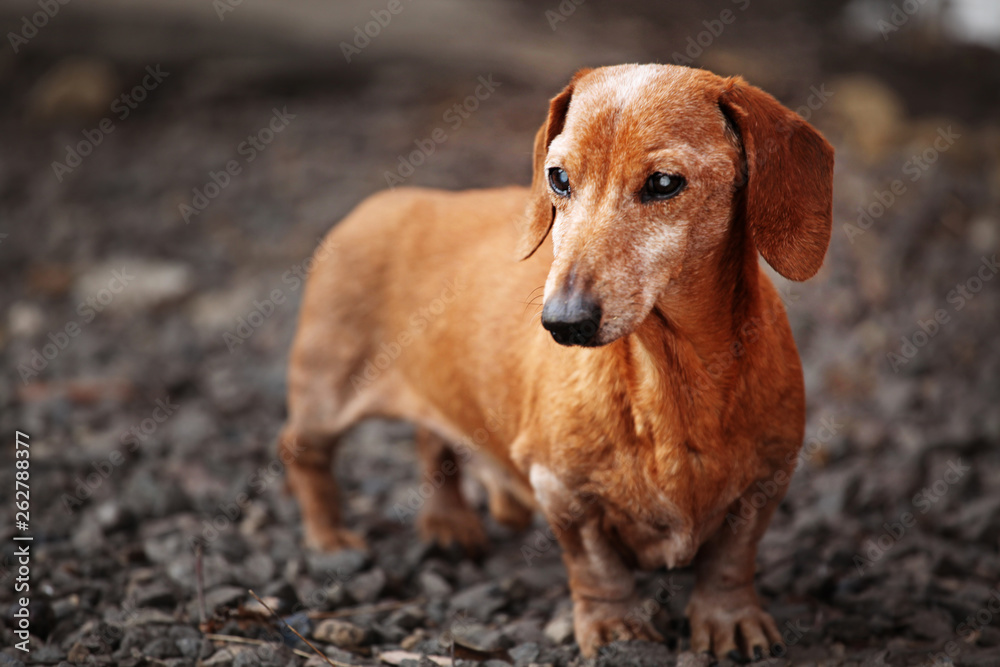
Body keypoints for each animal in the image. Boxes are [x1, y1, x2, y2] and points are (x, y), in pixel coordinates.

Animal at [278, 65, 832, 660]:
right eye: (558, 178)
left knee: (434, 439)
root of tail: (379, 202)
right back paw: (330, 538)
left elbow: (732, 558)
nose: (564, 322)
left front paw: (729, 618)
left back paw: (449, 521)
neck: (668, 378)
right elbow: (595, 567)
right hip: (327, 388)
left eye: (664, 184)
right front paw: (615, 629)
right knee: (301, 450)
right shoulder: (561, 490)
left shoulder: (768, 479)